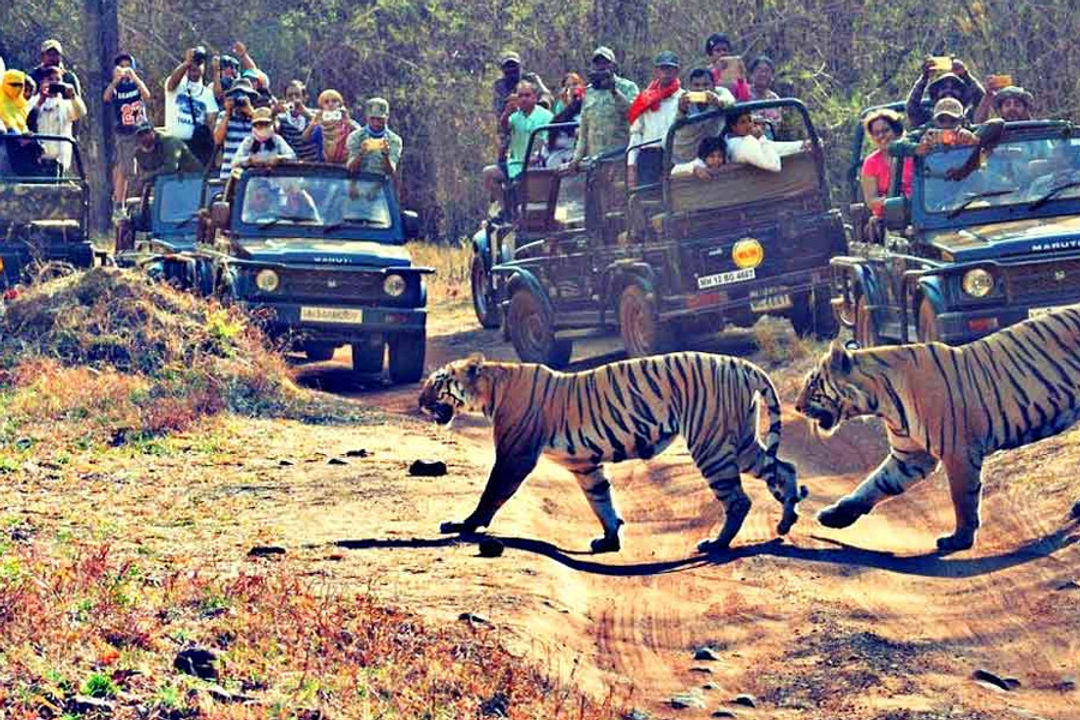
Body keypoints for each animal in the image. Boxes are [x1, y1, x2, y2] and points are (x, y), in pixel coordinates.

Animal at [416, 349, 807, 552]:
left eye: (436, 383)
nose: (419, 402)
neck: (491, 392)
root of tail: (743, 364)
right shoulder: (584, 464)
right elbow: (600, 499)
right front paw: (609, 539)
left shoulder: (515, 456)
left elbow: (491, 494)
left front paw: (464, 525)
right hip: (739, 441)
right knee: (783, 467)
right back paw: (786, 520)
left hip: (710, 444)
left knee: (739, 500)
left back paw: (715, 544)